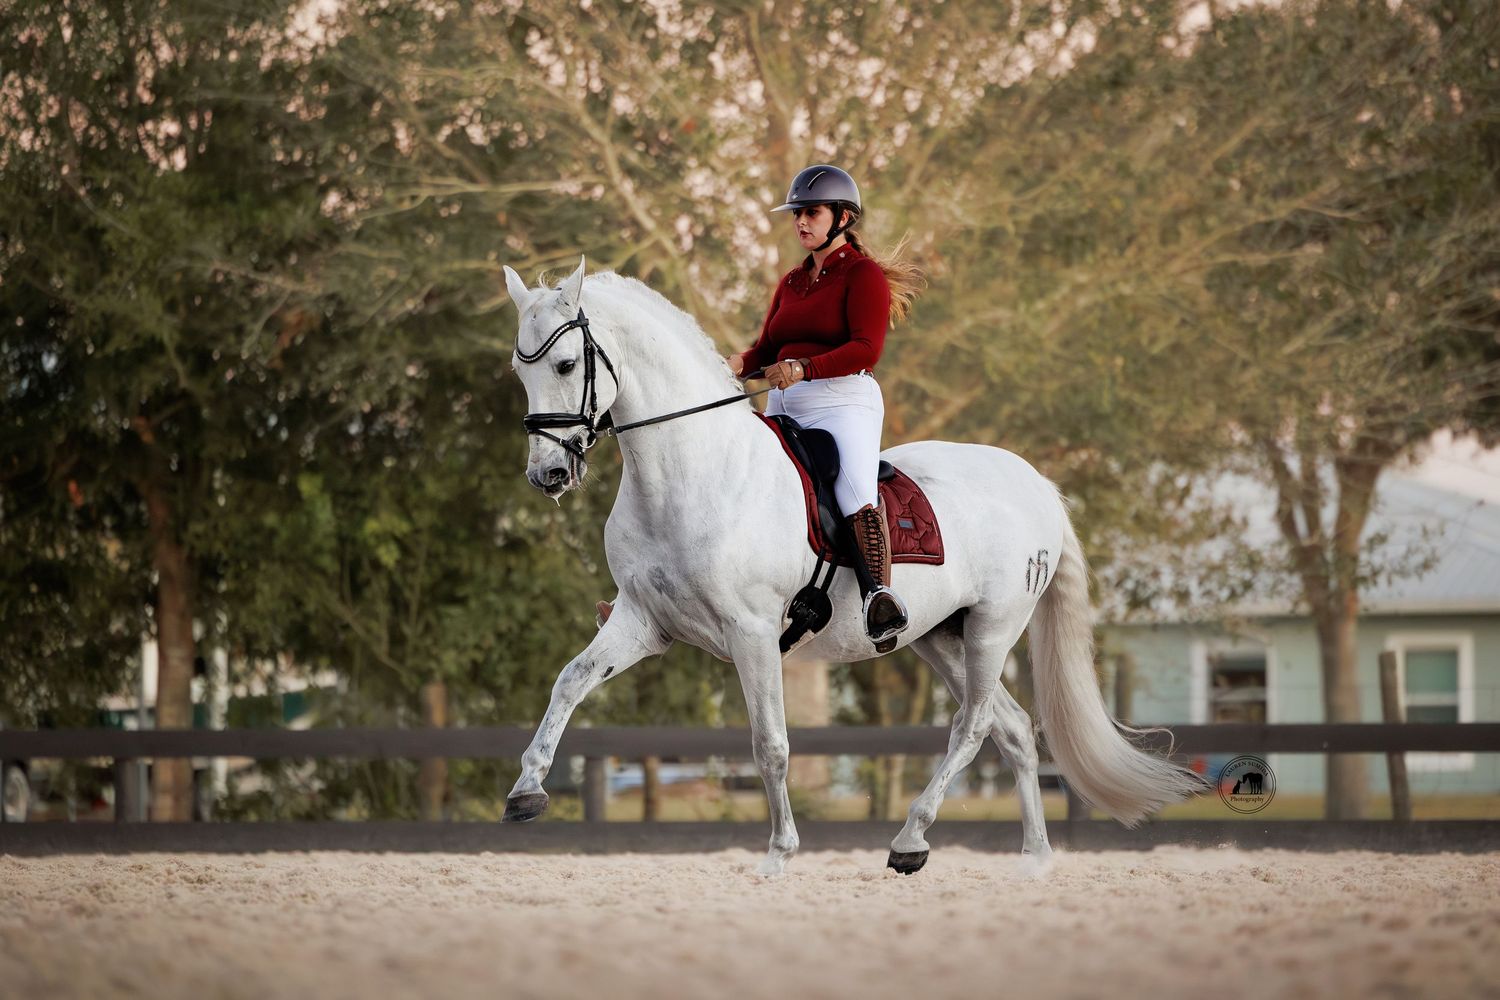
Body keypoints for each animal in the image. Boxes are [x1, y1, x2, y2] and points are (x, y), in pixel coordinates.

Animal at [499, 257, 1205, 875]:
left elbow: (770, 745)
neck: (692, 472)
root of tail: (1037, 485)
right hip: (938, 637)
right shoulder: (644, 623)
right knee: (1011, 729)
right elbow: (569, 681)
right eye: (519, 369)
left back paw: (910, 840)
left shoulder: (752, 634)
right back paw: (1032, 859)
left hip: (993, 629)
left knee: (974, 726)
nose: (548, 475)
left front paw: (779, 854)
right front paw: (526, 791)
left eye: (566, 363)